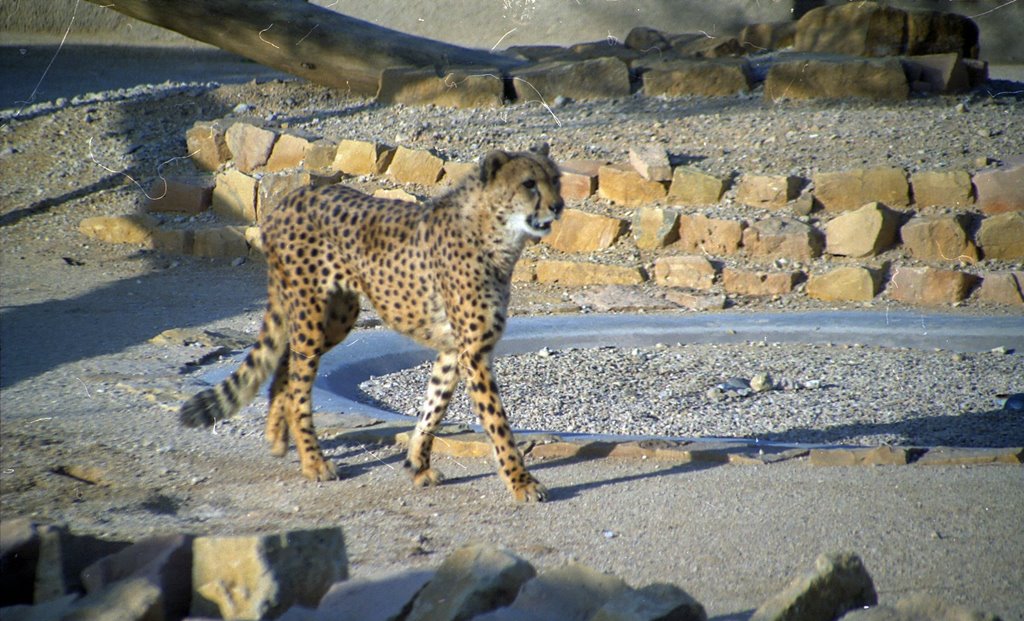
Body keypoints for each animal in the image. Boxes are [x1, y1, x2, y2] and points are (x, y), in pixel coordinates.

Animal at [181, 144, 565, 502]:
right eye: (529, 184)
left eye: (556, 180)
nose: (559, 206)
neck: (494, 231)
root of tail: (292, 197)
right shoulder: (474, 352)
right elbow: (498, 422)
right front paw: (521, 482)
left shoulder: (454, 349)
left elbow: (434, 406)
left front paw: (417, 465)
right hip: (311, 315)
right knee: (299, 388)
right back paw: (313, 462)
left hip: (338, 316)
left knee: (287, 364)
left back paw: (277, 437)